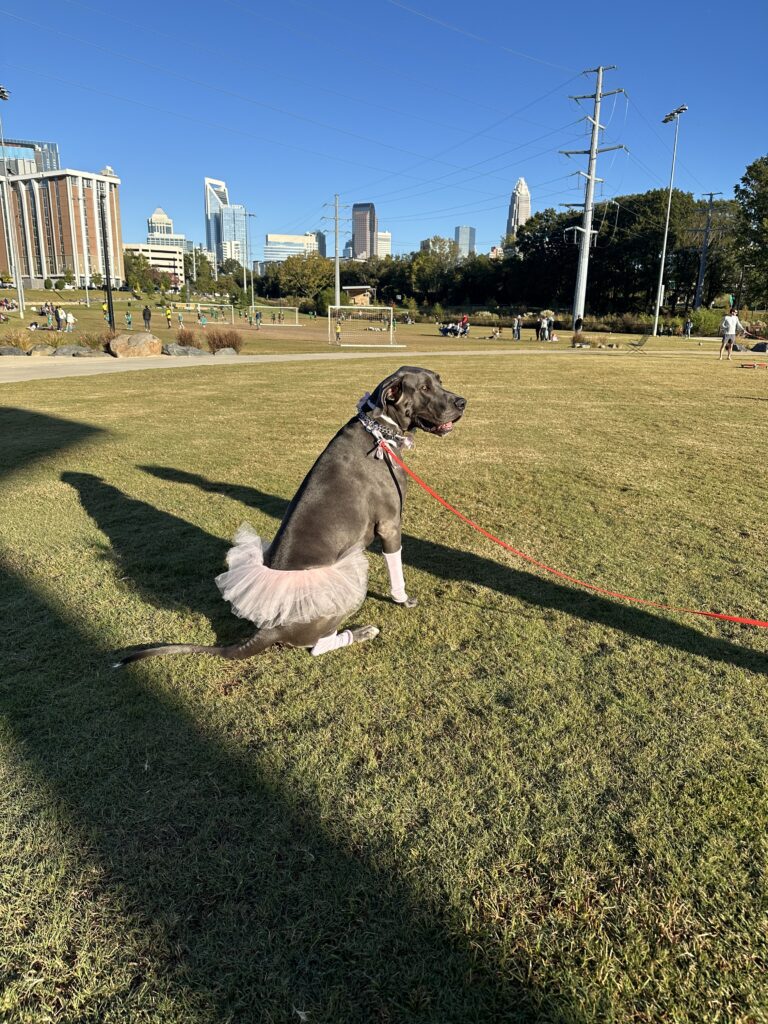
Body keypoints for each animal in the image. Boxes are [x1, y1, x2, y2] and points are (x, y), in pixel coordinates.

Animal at [117, 366, 466, 663]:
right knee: (317, 646)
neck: (379, 429)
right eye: (424, 388)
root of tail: (268, 628)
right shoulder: (391, 524)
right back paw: (361, 632)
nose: (463, 401)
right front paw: (402, 599)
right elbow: (397, 571)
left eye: (439, 380)